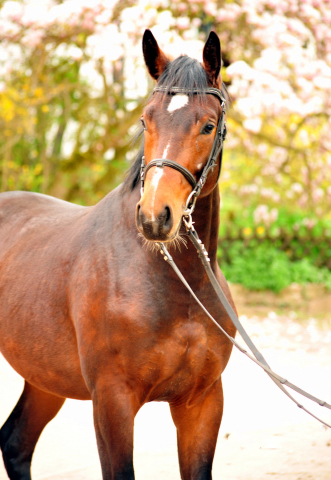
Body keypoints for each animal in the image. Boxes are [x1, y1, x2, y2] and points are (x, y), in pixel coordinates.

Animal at [0, 30, 239, 480]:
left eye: (208, 125)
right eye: (146, 120)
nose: (154, 217)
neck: (177, 287)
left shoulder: (202, 403)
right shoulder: (112, 401)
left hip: (44, 377)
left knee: (16, 443)